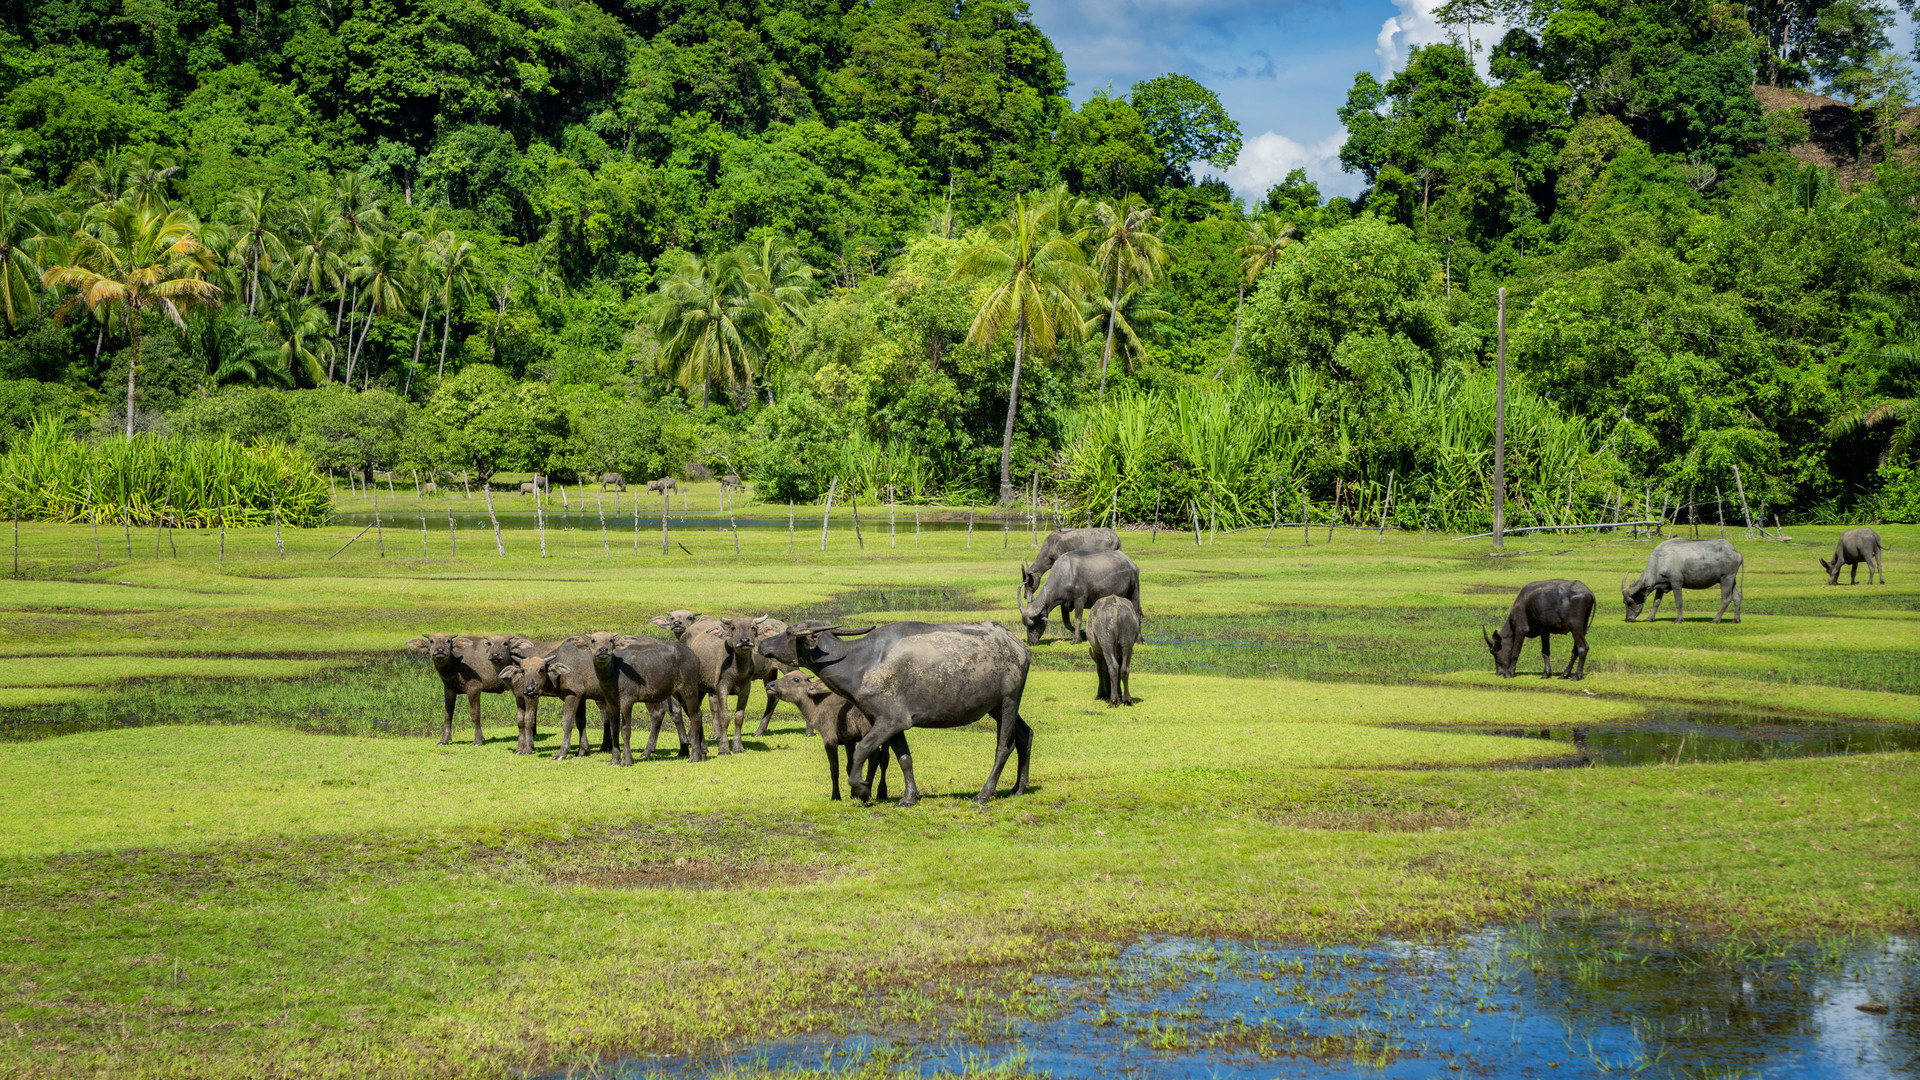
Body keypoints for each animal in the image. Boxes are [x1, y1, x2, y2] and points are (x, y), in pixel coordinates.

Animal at [764, 668, 890, 803]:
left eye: (796, 679)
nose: (770, 685)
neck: (816, 705)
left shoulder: (829, 739)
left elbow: (834, 769)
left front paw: (836, 795)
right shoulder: (849, 741)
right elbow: (850, 766)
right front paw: (853, 794)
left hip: (868, 731)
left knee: (874, 757)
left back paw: (867, 791)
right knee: (884, 759)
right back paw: (881, 792)